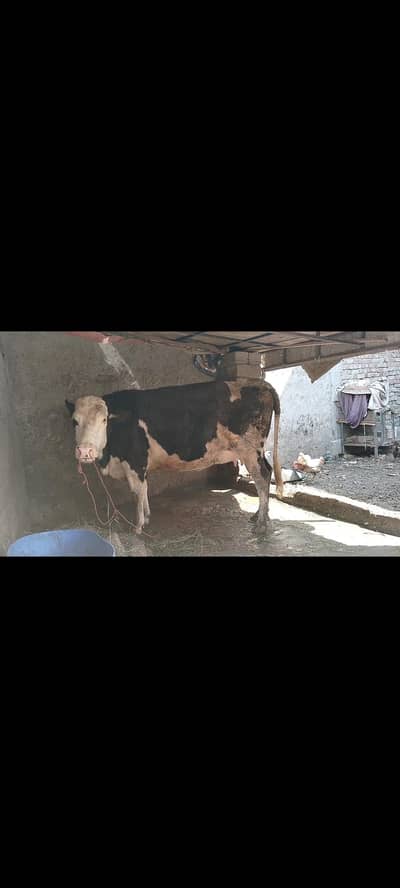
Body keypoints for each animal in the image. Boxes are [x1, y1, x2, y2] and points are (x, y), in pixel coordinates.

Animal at [65, 380, 283, 536]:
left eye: (104, 420)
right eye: (75, 421)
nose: (85, 451)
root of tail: (260, 383)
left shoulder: (135, 462)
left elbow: (137, 492)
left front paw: (138, 526)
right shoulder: (140, 465)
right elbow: (145, 488)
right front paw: (147, 516)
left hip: (250, 450)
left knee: (262, 478)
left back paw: (261, 524)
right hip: (257, 451)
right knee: (267, 472)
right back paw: (259, 516)